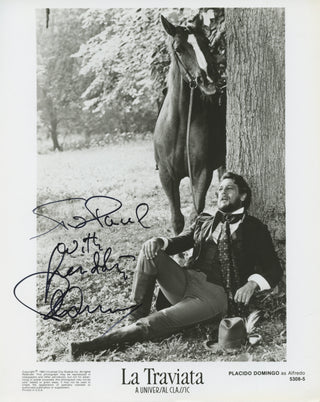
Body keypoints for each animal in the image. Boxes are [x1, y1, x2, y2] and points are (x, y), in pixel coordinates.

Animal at [154, 15, 225, 234]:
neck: (180, 123)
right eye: (179, 49)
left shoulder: (201, 172)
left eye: (206, 43)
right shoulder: (167, 176)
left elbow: (196, 216)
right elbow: (177, 219)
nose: (209, 80)